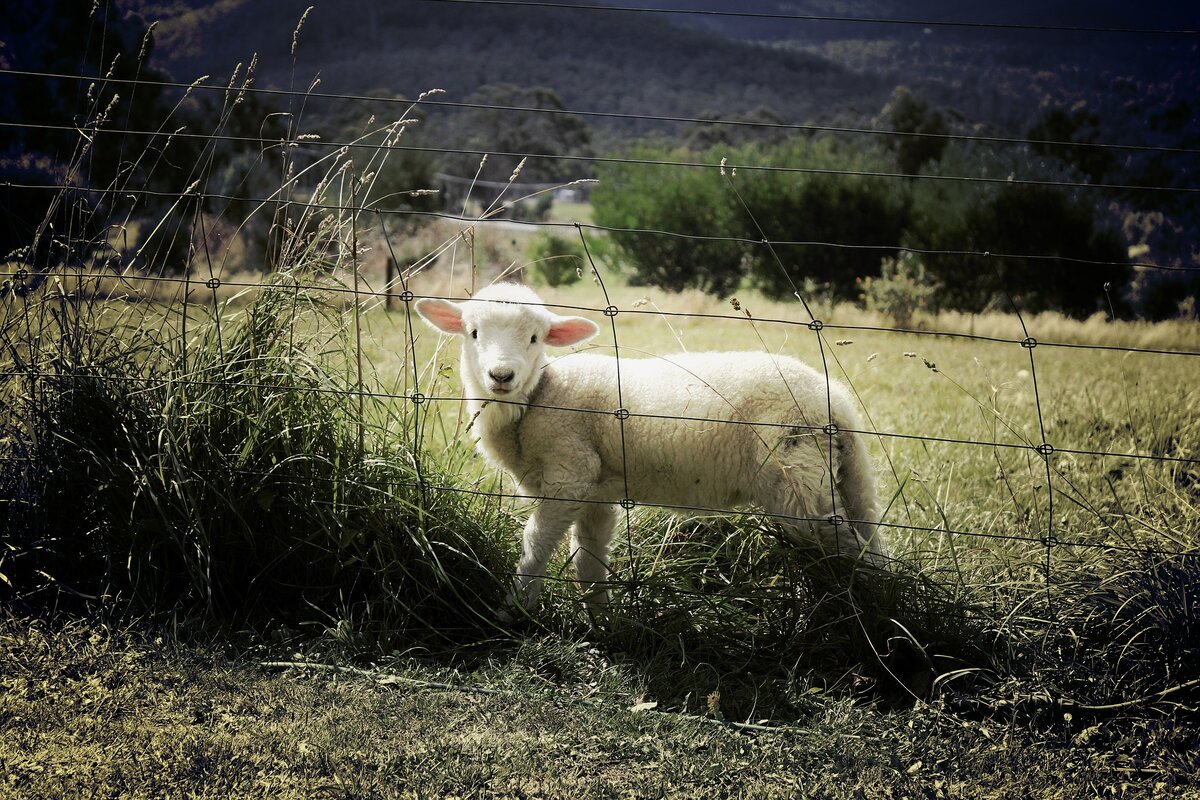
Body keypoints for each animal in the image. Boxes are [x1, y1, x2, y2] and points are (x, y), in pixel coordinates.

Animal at [417, 283, 888, 618]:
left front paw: (514, 609)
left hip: (795, 480)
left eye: (535, 338)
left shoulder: (570, 472)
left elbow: (537, 543)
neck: (537, 399)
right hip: (837, 475)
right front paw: (601, 621)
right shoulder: (596, 491)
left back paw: (867, 612)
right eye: (473, 333)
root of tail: (834, 401)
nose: (501, 376)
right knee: (868, 537)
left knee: (846, 546)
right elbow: (589, 557)